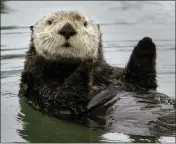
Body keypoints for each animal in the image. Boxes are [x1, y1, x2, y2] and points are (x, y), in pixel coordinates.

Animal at [18, 11, 175, 136]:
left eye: (85, 23)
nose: (67, 29)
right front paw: (87, 62)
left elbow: (143, 79)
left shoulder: (122, 78)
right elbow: (64, 98)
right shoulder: (42, 89)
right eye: (50, 22)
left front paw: (146, 44)